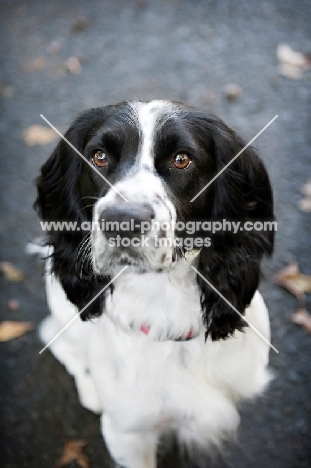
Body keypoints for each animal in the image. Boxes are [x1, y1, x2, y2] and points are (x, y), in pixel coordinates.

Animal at [35, 100, 276, 466]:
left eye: (182, 159)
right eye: (99, 157)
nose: (121, 221)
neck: (166, 304)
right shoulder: (129, 436)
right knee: (59, 341)